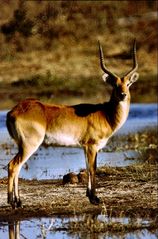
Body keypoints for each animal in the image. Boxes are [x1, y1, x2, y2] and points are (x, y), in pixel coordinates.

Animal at [6, 39, 139, 207]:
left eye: (128, 84)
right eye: (115, 85)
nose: (123, 95)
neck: (105, 114)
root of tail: (13, 111)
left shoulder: (86, 147)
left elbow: (88, 168)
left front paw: (89, 195)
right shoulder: (92, 146)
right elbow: (93, 169)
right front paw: (95, 198)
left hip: (22, 145)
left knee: (17, 167)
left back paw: (18, 201)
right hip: (30, 145)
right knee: (13, 165)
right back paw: (12, 202)